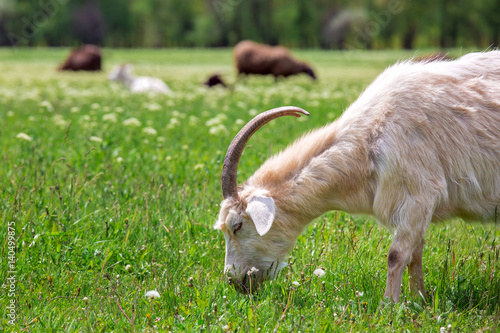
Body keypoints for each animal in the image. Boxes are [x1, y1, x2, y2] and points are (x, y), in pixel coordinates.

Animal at [214, 51, 500, 300]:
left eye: (237, 226)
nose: (235, 281)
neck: (368, 139)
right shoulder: (414, 206)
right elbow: (415, 254)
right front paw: (419, 300)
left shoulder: (418, 193)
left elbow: (397, 255)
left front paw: (389, 306)